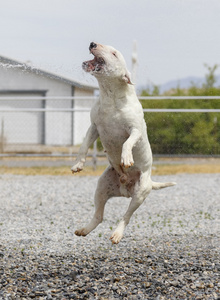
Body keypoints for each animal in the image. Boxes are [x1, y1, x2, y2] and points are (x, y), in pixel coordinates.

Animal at [72, 42, 175, 244]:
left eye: (113, 53)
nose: (93, 43)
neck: (110, 96)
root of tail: (125, 188)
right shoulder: (94, 127)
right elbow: (83, 146)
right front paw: (78, 164)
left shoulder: (135, 130)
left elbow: (128, 142)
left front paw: (126, 158)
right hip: (102, 186)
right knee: (99, 216)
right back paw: (84, 230)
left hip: (140, 193)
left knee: (126, 216)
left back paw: (117, 234)